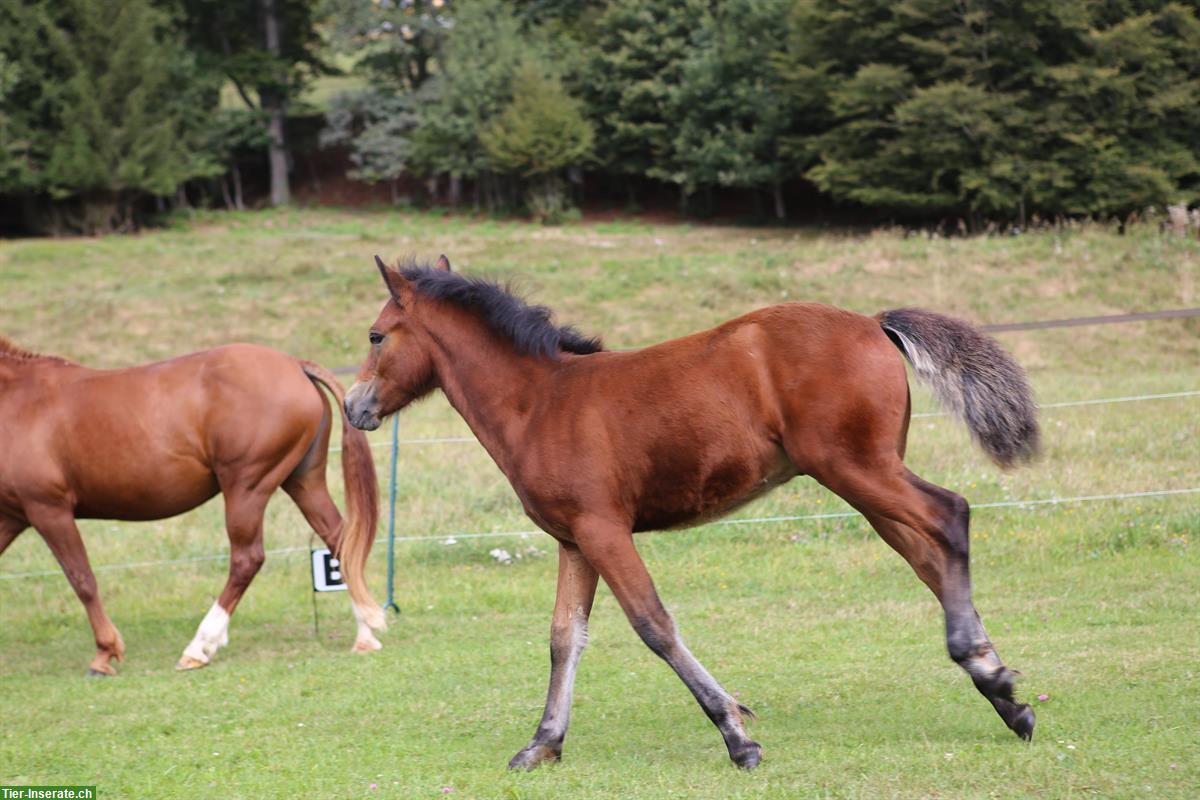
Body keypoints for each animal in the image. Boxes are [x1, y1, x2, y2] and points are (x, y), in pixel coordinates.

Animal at [0, 338, 384, 676]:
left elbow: (82, 579)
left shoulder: (48, 509)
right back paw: (365, 633)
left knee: (247, 559)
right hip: (303, 482)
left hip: (247, 487)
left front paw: (104, 654)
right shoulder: (11, 517)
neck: (16, 401)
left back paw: (199, 647)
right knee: (340, 542)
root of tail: (294, 365)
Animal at [345, 256, 1041, 767]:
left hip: (858, 470)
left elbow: (653, 625)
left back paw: (984, 668)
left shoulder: (605, 530)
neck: (540, 402)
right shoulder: (574, 541)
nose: (354, 406)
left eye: (377, 335)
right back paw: (1003, 690)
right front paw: (542, 744)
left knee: (950, 514)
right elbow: (564, 639)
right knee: (930, 555)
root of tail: (873, 323)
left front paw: (737, 733)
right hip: (864, 481)